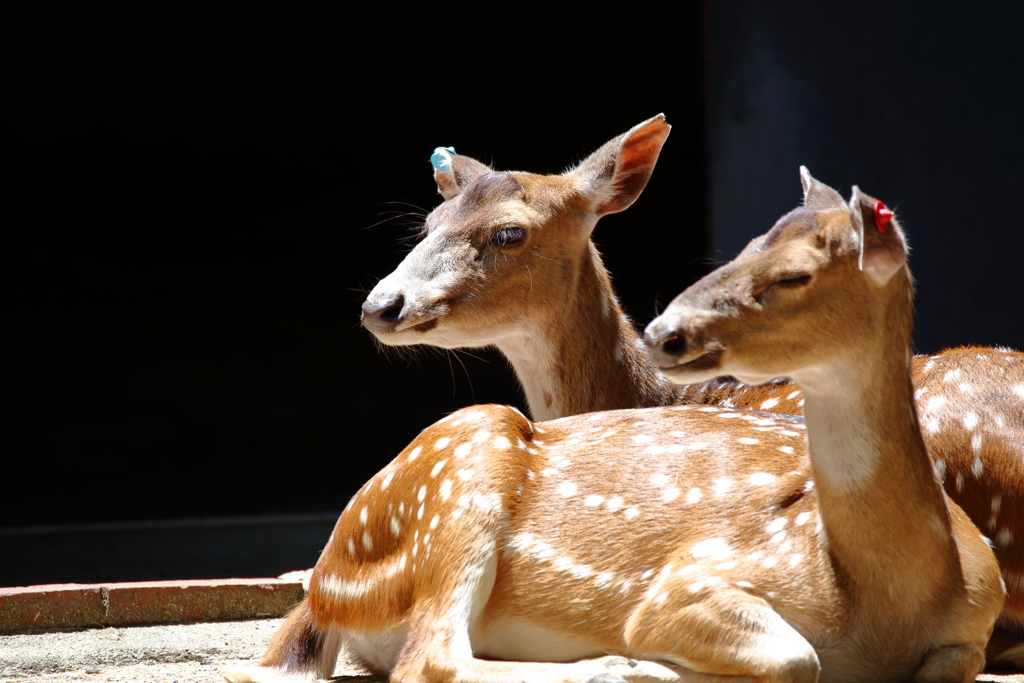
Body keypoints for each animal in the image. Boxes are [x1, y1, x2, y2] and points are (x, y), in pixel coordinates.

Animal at [226, 169, 1007, 683]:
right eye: (425, 226)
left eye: (509, 231)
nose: (381, 304)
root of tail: (326, 584)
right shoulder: (693, 583)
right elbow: (795, 657)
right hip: (460, 479)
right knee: (434, 656)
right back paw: (623, 665)